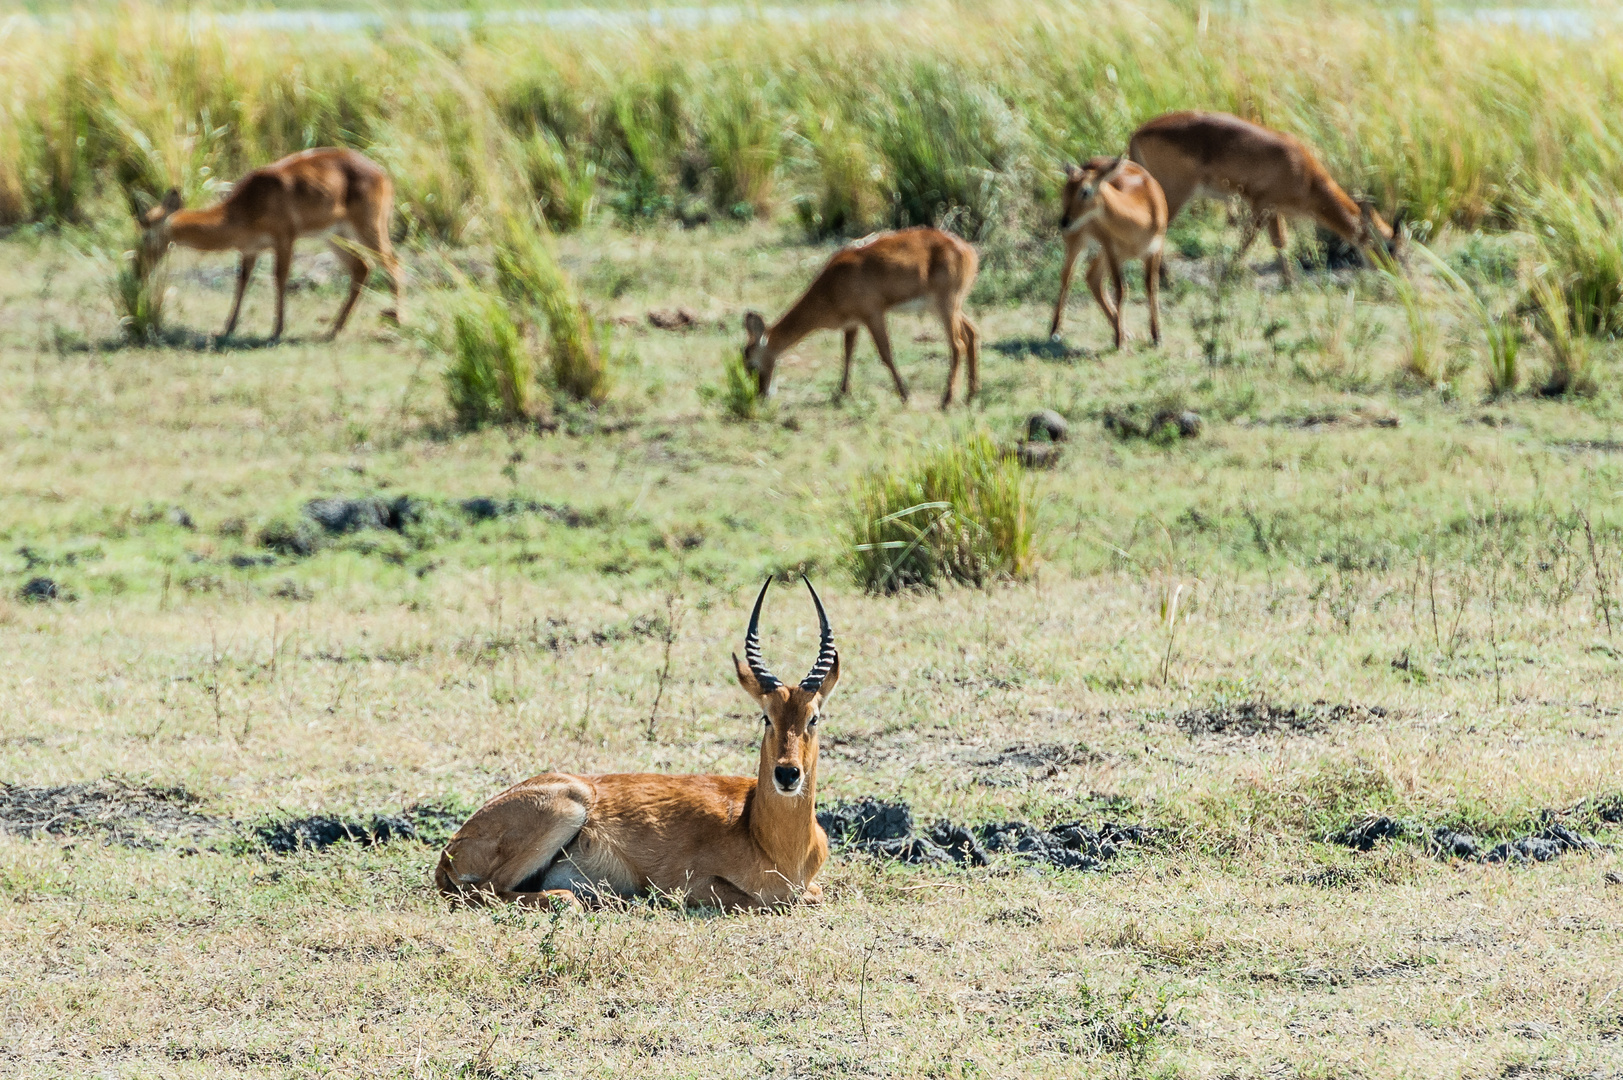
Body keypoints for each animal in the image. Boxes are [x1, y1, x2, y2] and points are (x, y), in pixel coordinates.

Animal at [134, 147, 404, 339]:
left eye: (146, 235)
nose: (139, 270)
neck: (243, 208)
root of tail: (383, 174)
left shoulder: (284, 238)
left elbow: (279, 278)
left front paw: (277, 330)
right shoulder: (249, 249)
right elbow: (242, 281)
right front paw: (228, 328)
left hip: (370, 228)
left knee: (394, 264)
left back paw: (398, 320)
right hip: (334, 236)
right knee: (362, 267)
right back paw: (334, 329)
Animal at [431, 571, 837, 909]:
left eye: (814, 717)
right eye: (766, 716)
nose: (787, 774)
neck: (765, 837)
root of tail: (451, 849)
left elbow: (812, 893)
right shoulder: (692, 885)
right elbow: (759, 899)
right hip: (567, 808)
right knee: (489, 891)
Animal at [743, 225, 980, 409]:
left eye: (751, 364)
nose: (762, 394)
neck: (831, 286)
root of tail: (969, 250)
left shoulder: (873, 314)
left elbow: (885, 354)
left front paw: (905, 395)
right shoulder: (852, 323)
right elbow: (848, 353)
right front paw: (842, 392)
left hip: (946, 306)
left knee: (957, 344)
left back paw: (947, 400)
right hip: (948, 307)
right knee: (971, 333)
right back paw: (970, 396)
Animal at [1051, 153, 1168, 347]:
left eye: (1085, 191)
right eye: (1066, 191)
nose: (1064, 222)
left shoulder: (1155, 249)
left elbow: (1152, 287)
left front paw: (1157, 336)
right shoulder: (1112, 251)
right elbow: (1121, 290)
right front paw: (1119, 341)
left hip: (1102, 253)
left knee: (1092, 277)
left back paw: (1126, 332)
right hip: (1078, 241)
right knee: (1068, 276)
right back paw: (1055, 331)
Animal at [1123, 111, 1402, 284]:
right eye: (1389, 245)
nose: (1394, 276)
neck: (1305, 173)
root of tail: (1137, 133)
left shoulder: (1272, 210)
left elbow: (1279, 242)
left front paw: (1289, 281)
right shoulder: (1262, 206)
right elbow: (1253, 241)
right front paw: (1228, 274)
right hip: (1174, 194)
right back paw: (1166, 280)